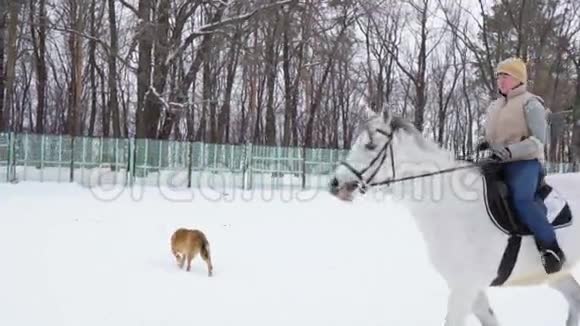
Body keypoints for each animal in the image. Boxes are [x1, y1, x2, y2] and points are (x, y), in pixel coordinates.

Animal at [328, 110, 580, 326]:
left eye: (370, 145)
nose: (335, 183)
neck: (455, 208)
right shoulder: (469, 288)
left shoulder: (464, 287)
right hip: (557, 275)